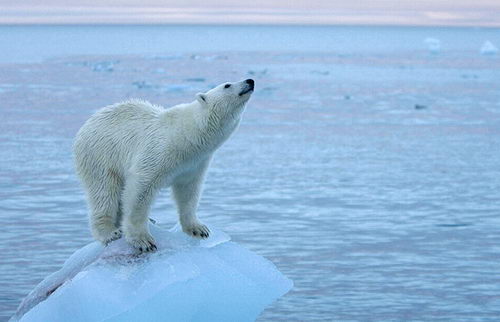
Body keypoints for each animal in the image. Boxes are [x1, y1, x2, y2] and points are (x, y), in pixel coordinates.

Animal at [73, 78, 254, 252]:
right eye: (227, 85)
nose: (250, 80)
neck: (188, 135)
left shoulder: (194, 163)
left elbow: (188, 192)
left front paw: (198, 229)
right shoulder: (158, 151)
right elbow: (139, 190)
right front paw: (143, 240)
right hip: (101, 155)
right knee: (104, 191)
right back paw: (110, 232)